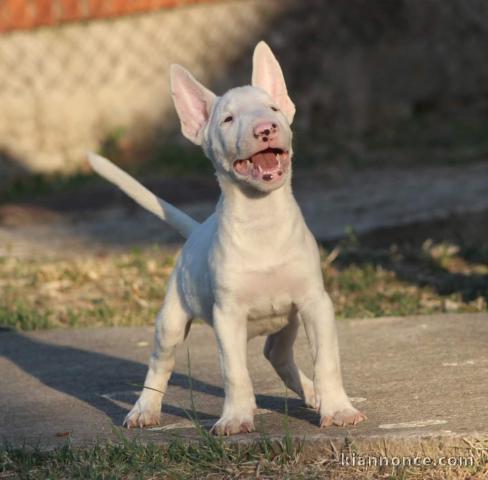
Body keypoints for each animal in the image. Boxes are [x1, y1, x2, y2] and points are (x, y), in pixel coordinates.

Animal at [86, 42, 366, 436]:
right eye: (228, 120)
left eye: (274, 109)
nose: (267, 129)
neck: (262, 220)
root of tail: (197, 229)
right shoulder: (227, 316)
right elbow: (235, 372)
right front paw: (234, 418)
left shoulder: (315, 304)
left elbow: (326, 360)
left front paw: (338, 409)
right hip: (171, 320)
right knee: (160, 364)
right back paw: (144, 410)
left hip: (289, 321)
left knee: (276, 355)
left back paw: (312, 394)